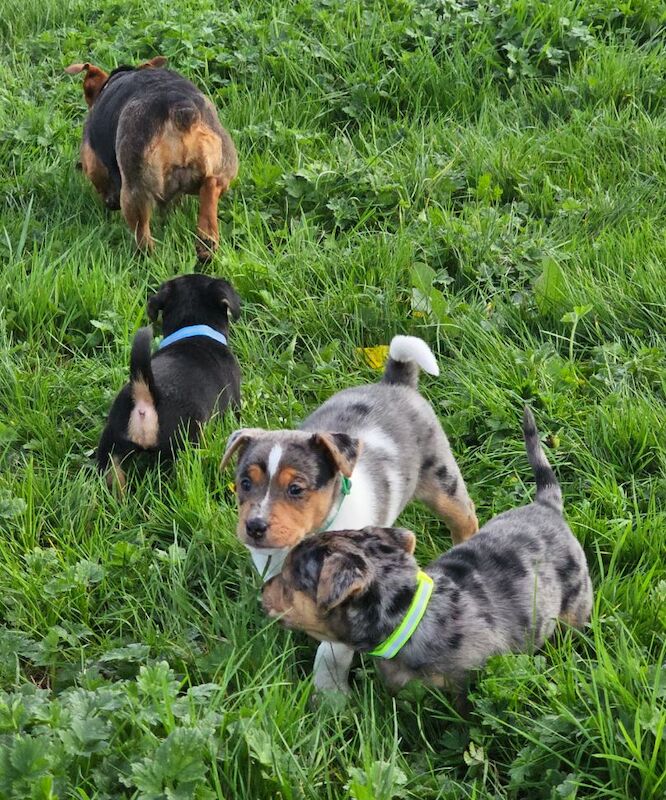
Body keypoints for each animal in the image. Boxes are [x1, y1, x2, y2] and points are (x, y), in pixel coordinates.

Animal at [262, 410, 588, 704]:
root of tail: (546, 504)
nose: (262, 589)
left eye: (289, 580)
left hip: (576, 601)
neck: (407, 615)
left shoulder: (468, 686)